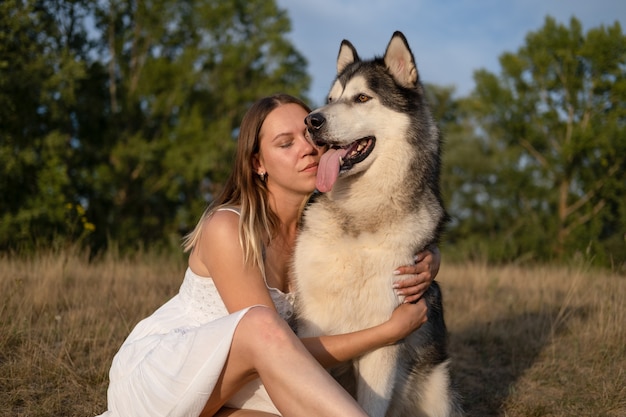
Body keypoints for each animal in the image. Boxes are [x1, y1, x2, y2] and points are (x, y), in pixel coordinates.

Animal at [290, 31, 460, 416]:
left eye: (362, 98)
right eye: (331, 99)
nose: (311, 122)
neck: (358, 218)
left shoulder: (383, 340)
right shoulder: (311, 326)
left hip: (438, 389)